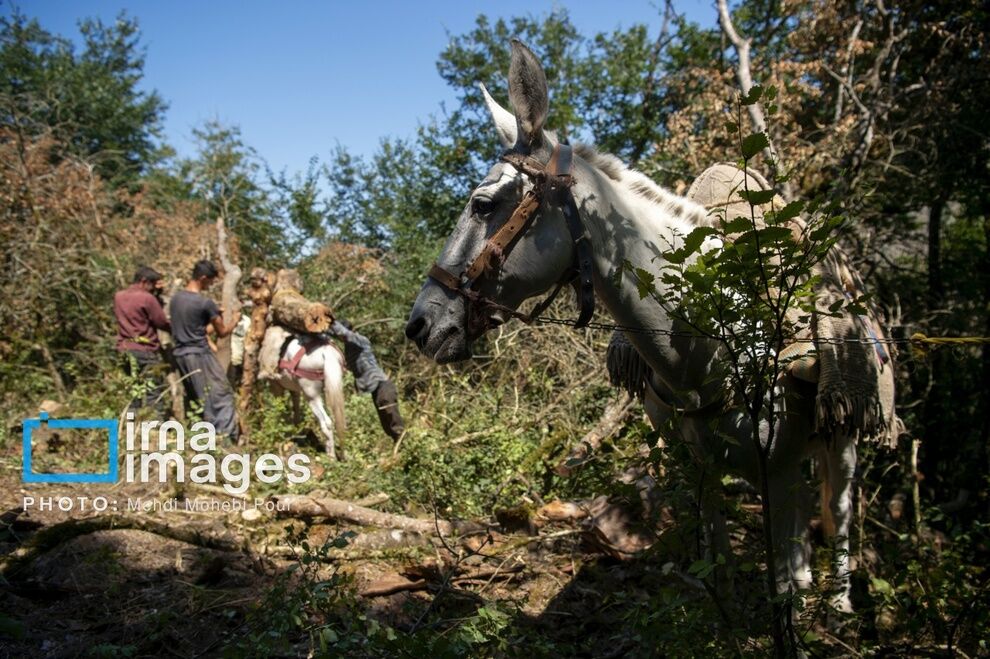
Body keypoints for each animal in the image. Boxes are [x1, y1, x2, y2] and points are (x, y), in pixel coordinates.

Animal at [404, 40, 900, 612]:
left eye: (483, 205)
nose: (419, 324)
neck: (710, 345)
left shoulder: (774, 469)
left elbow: (781, 583)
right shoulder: (703, 472)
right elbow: (723, 576)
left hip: (844, 440)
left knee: (837, 515)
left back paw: (838, 606)